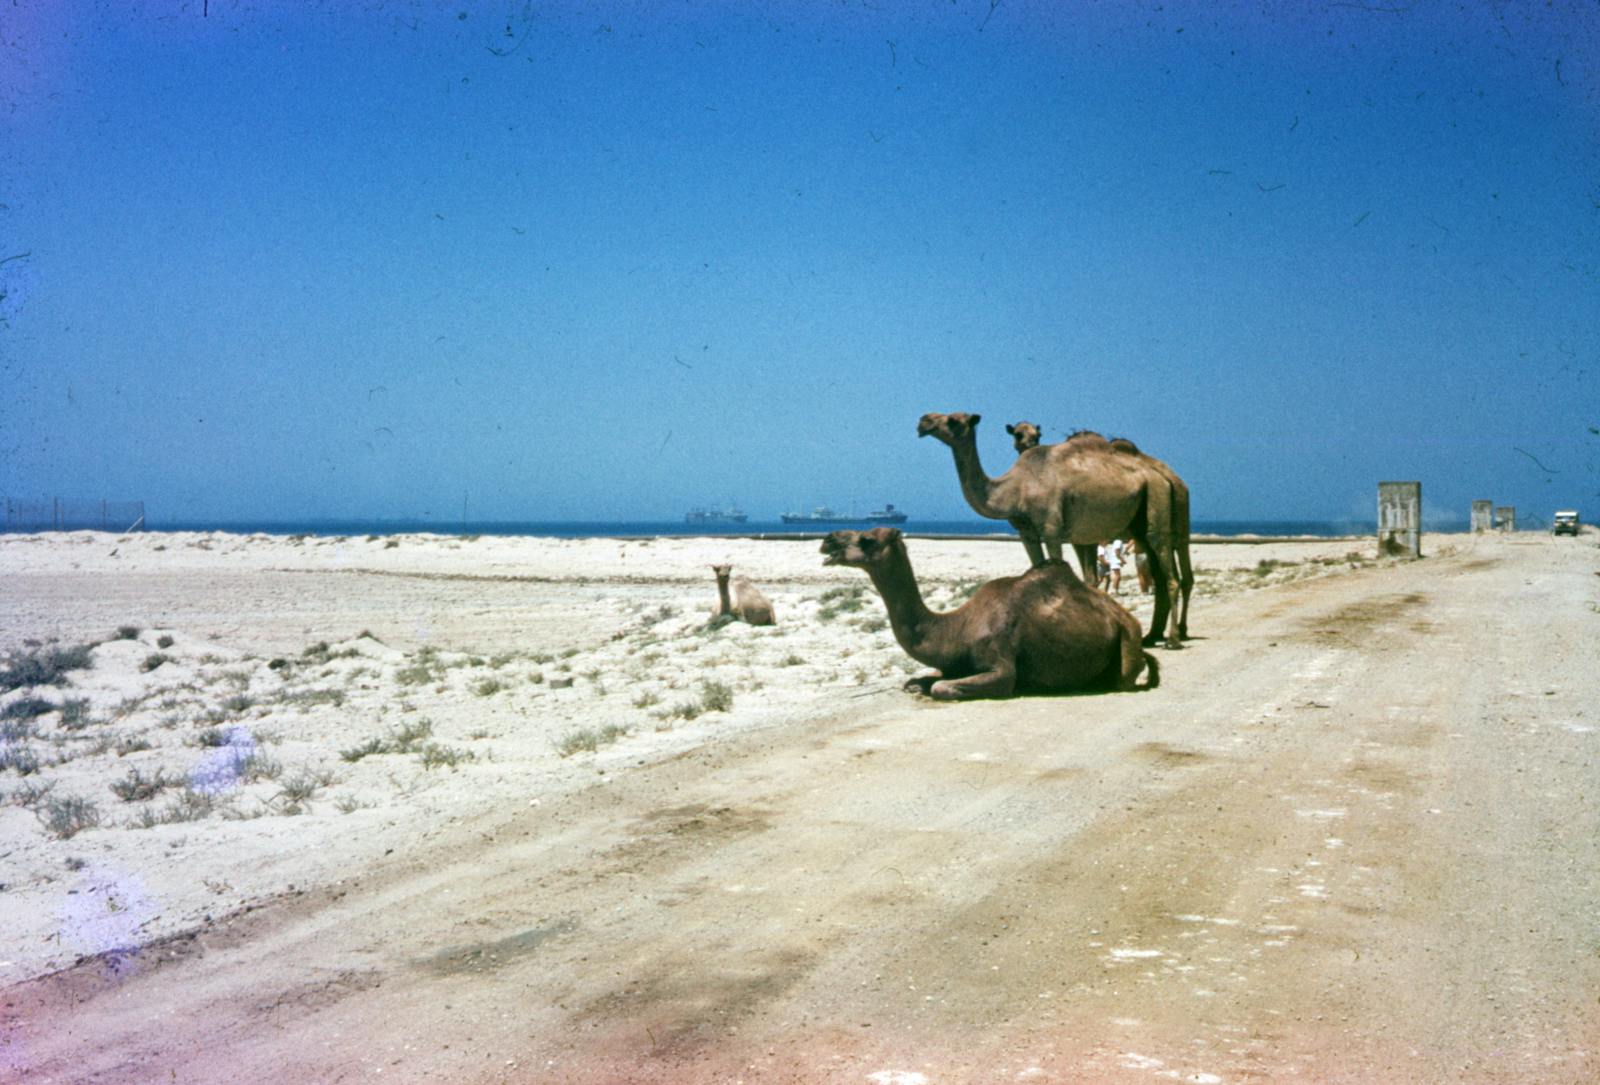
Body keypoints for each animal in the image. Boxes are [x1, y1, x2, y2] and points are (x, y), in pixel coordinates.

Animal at [819, 528, 1158, 704]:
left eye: (867, 539)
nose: (828, 540)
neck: (955, 628)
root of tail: (1127, 618)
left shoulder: (1000, 665)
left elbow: (943, 688)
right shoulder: (950, 664)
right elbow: (917, 681)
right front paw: (918, 684)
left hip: (1127, 639)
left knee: (1124, 677)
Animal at [921, 412, 1196, 643]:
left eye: (952, 420)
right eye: (1017, 434)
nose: (923, 421)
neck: (1016, 489)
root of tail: (1164, 477)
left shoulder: (1053, 531)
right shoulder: (1029, 534)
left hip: (1159, 507)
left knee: (1174, 574)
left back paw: (1173, 638)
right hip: (1143, 519)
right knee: (1162, 574)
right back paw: (1154, 635)